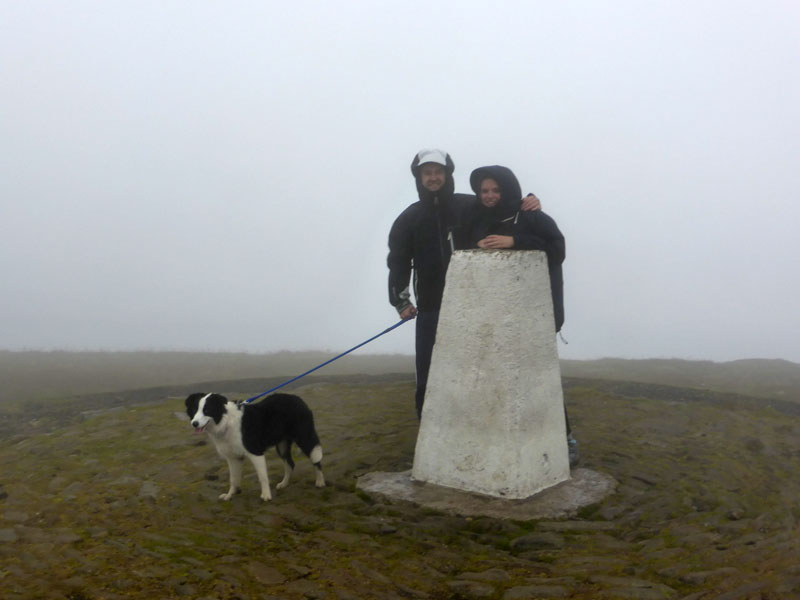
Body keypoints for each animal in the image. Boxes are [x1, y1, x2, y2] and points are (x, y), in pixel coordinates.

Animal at [184, 392, 324, 500]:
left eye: (207, 410)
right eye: (194, 411)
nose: (194, 423)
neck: (225, 422)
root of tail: (298, 399)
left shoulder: (255, 452)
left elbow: (262, 476)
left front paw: (266, 495)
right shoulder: (233, 458)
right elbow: (233, 479)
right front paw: (230, 495)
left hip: (304, 438)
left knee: (316, 459)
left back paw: (320, 481)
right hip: (282, 445)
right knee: (290, 463)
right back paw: (284, 483)